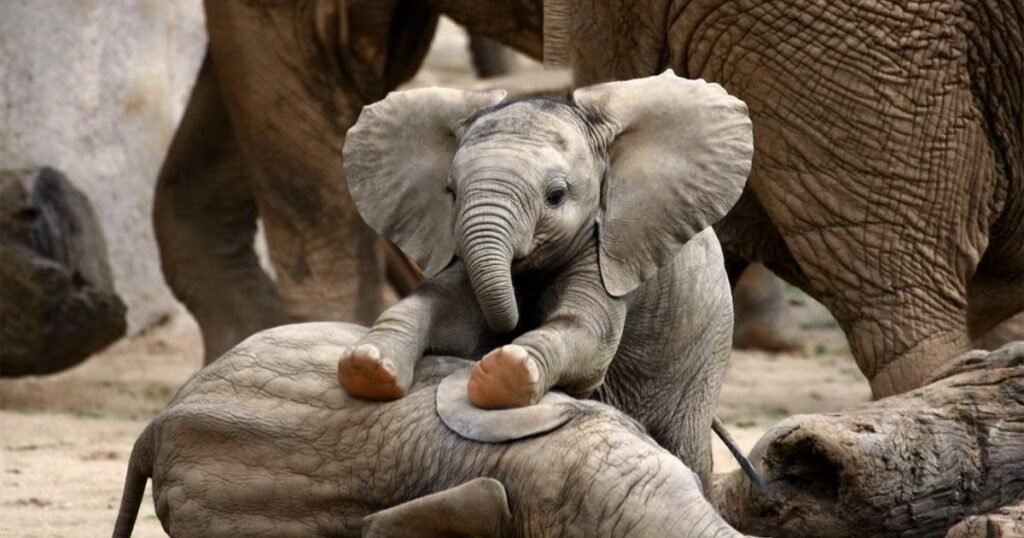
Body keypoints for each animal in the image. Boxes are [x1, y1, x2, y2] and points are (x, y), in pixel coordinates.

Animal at [336, 71, 749, 481]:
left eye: (556, 196)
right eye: (450, 192)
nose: (513, 325)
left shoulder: (611, 249)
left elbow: (587, 334)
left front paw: (503, 373)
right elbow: (445, 310)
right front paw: (366, 366)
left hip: (704, 354)